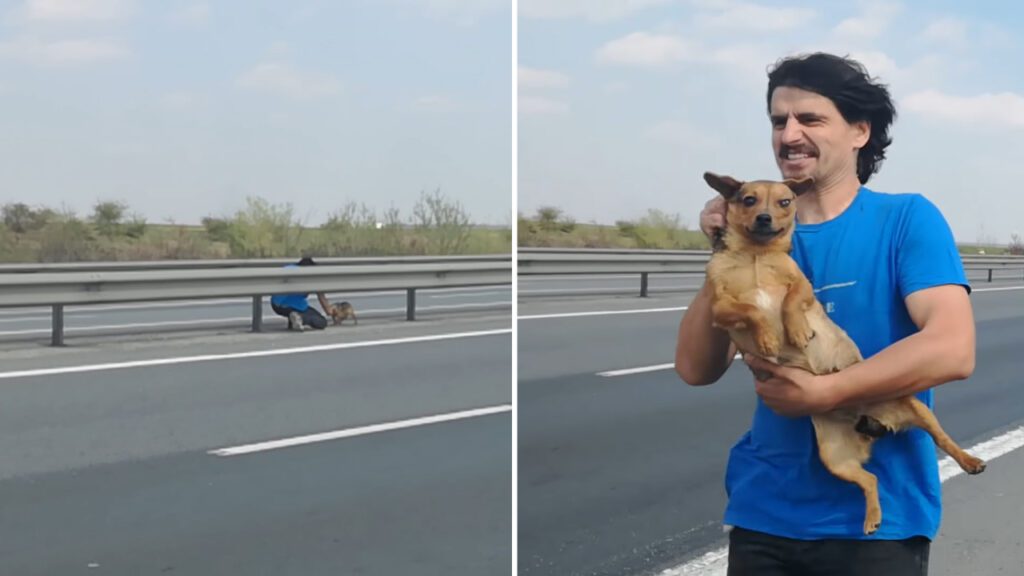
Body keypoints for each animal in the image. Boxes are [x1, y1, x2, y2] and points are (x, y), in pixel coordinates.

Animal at [704, 171, 983, 532]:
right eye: (748, 200)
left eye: (785, 202)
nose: (765, 218)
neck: (757, 256)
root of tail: (868, 422)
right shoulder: (720, 307)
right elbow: (750, 309)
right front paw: (767, 337)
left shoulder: (802, 286)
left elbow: (791, 299)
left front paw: (795, 329)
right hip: (834, 459)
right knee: (870, 480)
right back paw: (872, 518)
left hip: (918, 410)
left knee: (942, 439)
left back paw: (970, 460)